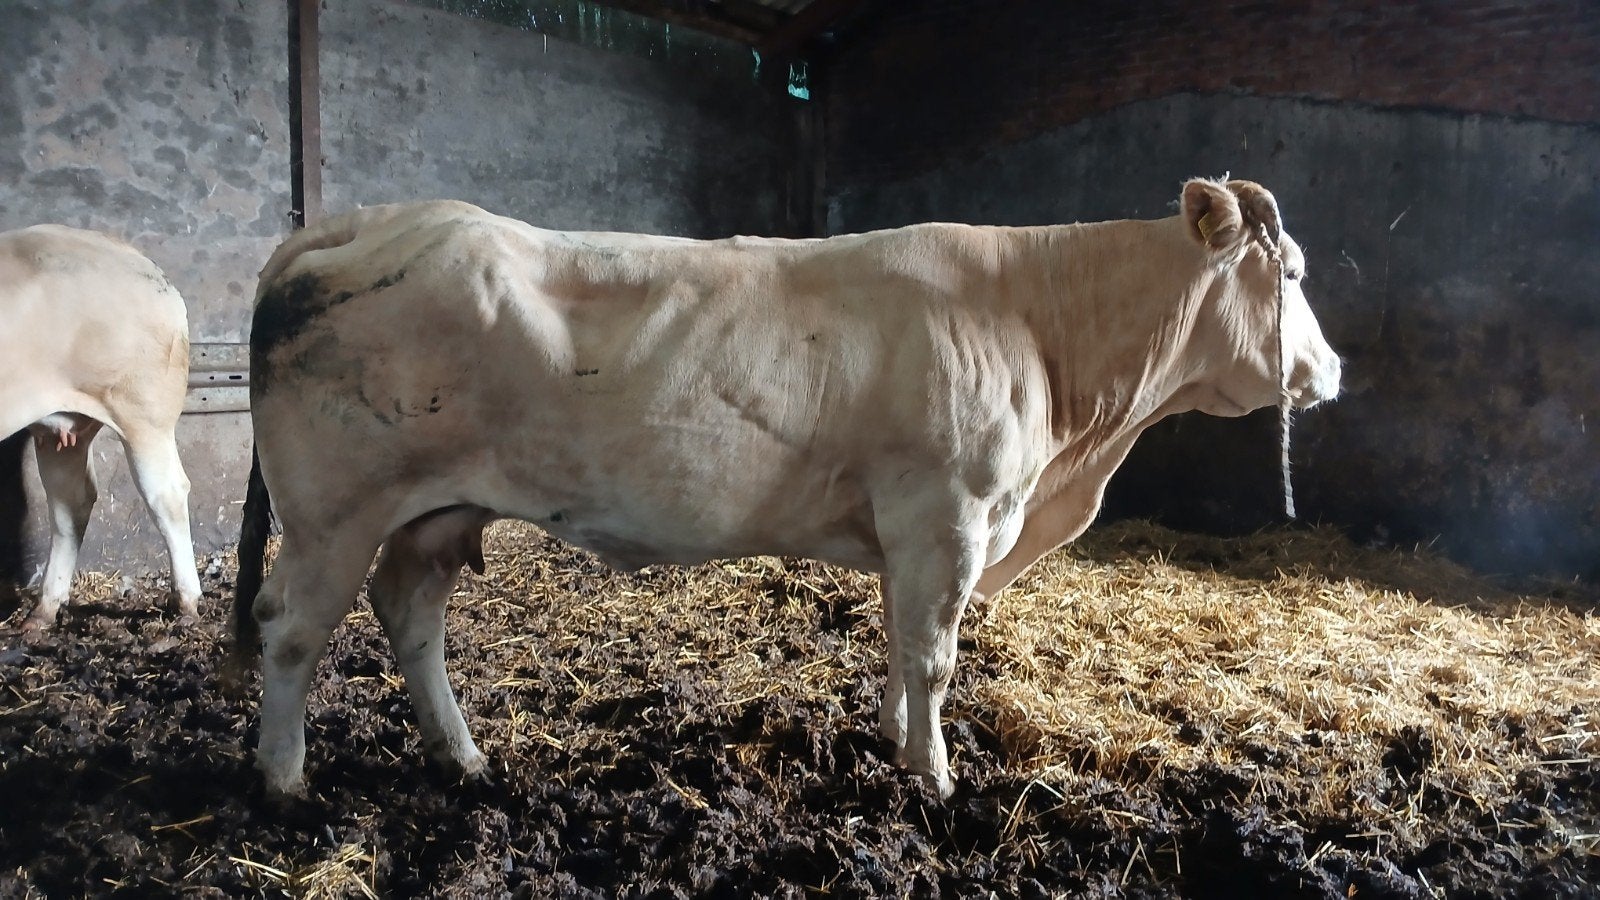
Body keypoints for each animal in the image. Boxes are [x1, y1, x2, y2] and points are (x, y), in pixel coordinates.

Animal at [0, 225, 204, 630]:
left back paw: (188, 602)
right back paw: (44, 610)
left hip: (143, 412)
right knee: (70, 503)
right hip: (59, 428)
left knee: (166, 493)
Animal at [232, 177, 1340, 801]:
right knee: (292, 629)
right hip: (334, 511)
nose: (1329, 372)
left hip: (433, 511)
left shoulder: (914, 532)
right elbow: (934, 655)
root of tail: (367, 222)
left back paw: (459, 758)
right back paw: (284, 779)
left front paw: (894, 740)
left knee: (408, 616)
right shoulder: (947, 511)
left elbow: (901, 643)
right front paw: (935, 777)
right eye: (1289, 274)